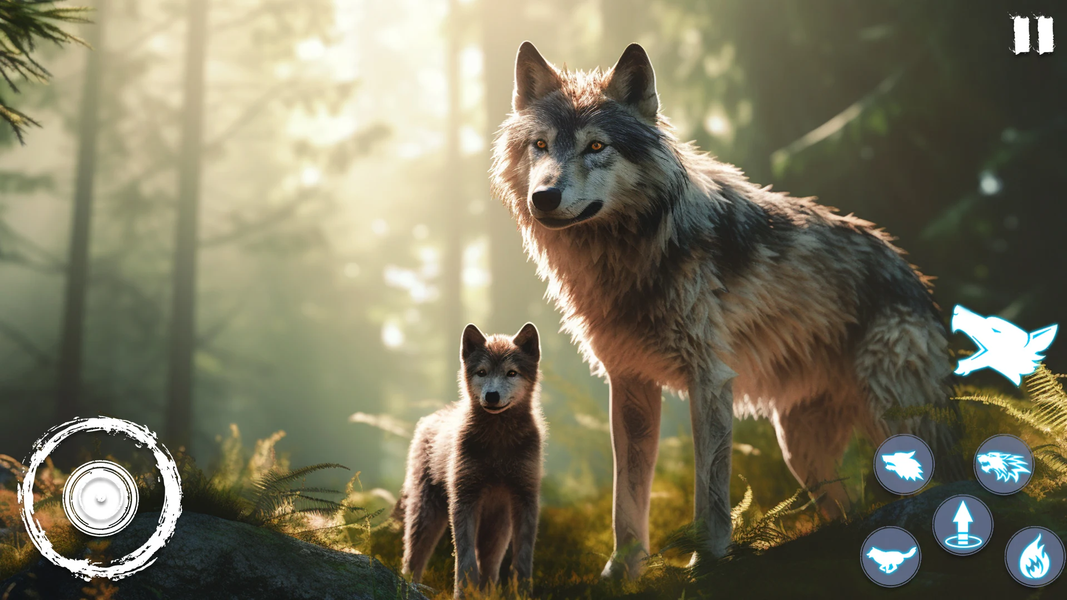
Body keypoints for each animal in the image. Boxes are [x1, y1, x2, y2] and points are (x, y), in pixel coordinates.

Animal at [394, 323, 545, 597]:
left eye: (511, 373)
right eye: (482, 372)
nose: (492, 395)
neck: (498, 444)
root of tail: (429, 419)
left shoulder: (526, 498)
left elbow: (523, 559)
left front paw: (521, 594)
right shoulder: (464, 499)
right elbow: (464, 560)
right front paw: (463, 594)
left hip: (497, 529)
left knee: (490, 568)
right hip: (426, 517)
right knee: (412, 560)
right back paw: (409, 588)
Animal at [490, 41, 961, 578]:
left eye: (595, 147)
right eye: (541, 145)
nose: (544, 197)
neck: (633, 255)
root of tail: (916, 277)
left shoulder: (709, 379)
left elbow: (709, 492)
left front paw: (706, 563)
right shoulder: (630, 384)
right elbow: (624, 497)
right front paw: (621, 574)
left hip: (893, 415)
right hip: (800, 449)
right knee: (848, 506)